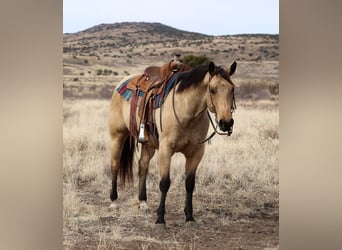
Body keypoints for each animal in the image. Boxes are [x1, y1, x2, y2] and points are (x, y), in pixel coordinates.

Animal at [108, 59, 236, 229]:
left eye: (232, 89)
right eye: (212, 90)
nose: (226, 123)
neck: (187, 112)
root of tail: (121, 83)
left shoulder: (196, 152)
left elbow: (189, 184)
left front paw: (189, 217)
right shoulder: (166, 150)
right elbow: (164, 183)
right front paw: (160, 220)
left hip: (148, 144)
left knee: (143, 166)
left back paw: (143, 202)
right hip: (117, 136)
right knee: (115, 165)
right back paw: (114, 201)